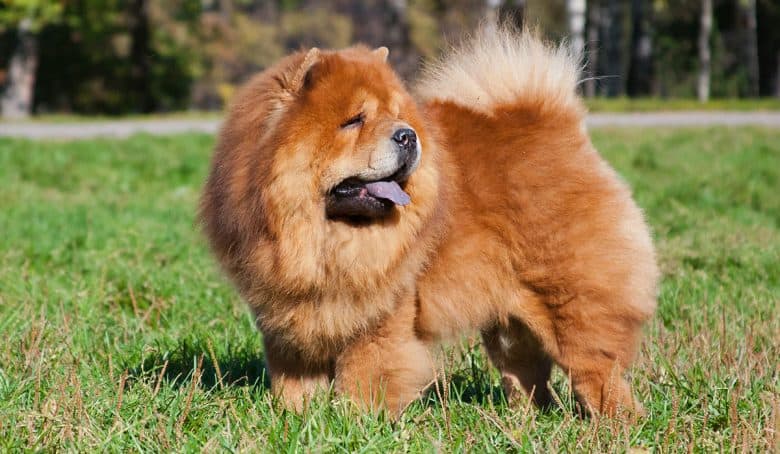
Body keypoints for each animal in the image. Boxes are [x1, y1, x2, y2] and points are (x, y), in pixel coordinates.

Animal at [201, 26, 660, 416]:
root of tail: (553, 123)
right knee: (527, 375)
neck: (325, 239)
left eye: (397, 115)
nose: (407, 135)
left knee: (597, 369)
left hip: (572, 301)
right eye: (354, 120)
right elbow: (293, 380)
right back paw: (526, 421)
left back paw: (615, 423)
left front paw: (352, 422)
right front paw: (295, 418)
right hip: (509, 325)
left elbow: (363, 376)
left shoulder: (381, 318)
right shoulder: (288, 317)